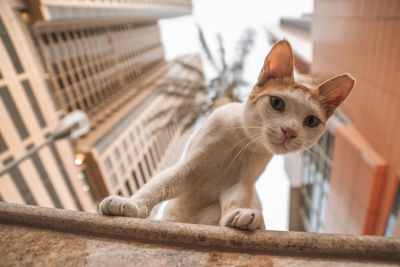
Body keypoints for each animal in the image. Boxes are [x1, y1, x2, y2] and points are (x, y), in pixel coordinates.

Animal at [98, 40, 354, 231]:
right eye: (277, 103)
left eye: (311, 121)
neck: (239, 139)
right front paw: (130, 205)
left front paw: (239, 215)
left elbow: (236, 200)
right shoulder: (186, 169)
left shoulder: (240, 183)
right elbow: (155, 186)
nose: (289, 131)